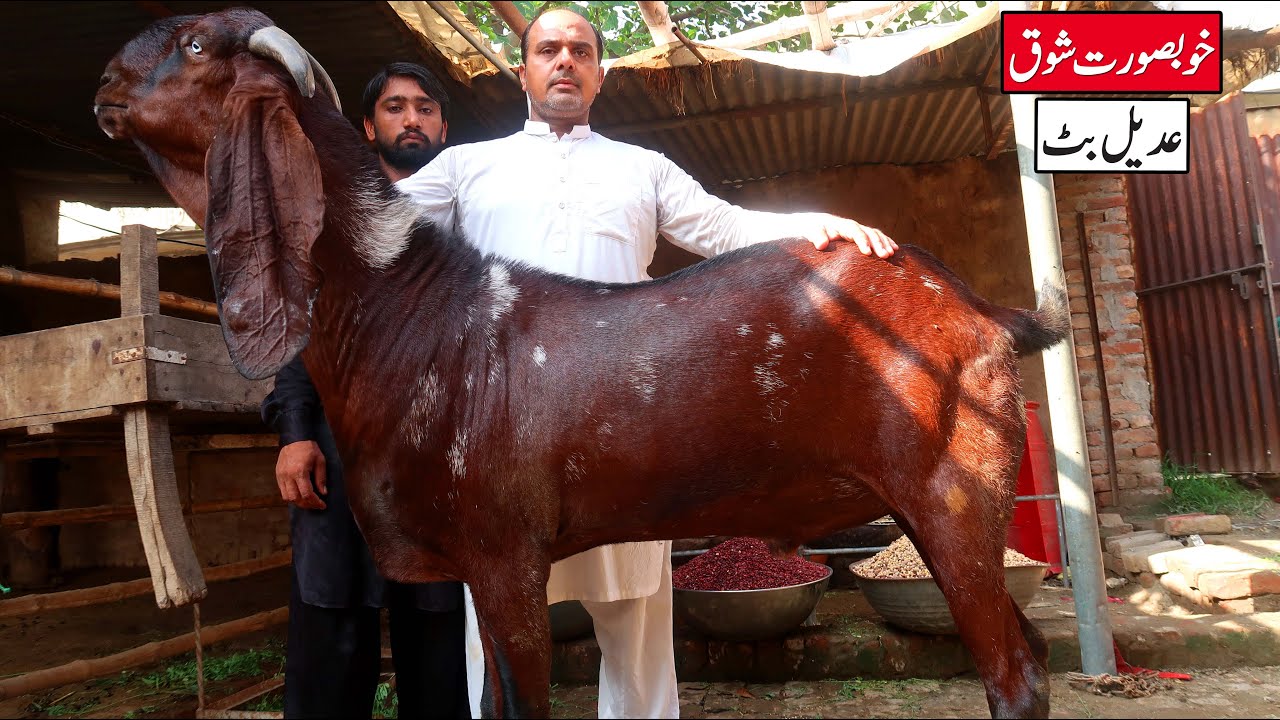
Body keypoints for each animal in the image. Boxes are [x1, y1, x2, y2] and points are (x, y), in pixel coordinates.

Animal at [97, 9, 1068, 718]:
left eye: (193, 45)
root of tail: (986, 311)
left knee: (1015, 673)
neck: (403, 313)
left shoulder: (504, 557)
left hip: (953, 503)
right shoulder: (477, 572)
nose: (105, 80)